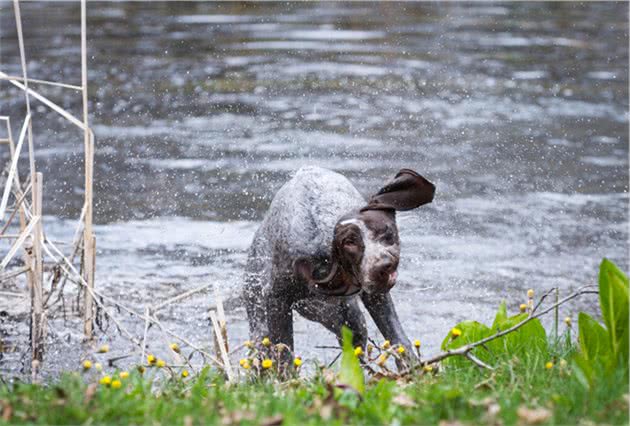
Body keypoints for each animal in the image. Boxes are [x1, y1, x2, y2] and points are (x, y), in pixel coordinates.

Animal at [244, 166, 436, 352]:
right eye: (349, 243)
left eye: (386, 231)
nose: (384, 266)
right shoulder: (277, 298)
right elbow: (283, 350)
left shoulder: (375, 297)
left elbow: (399, 340)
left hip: (348, 318)